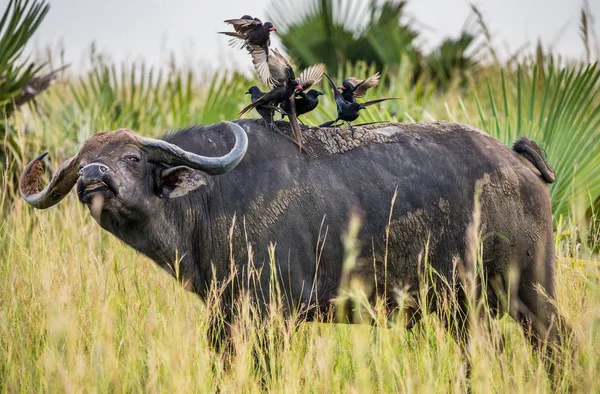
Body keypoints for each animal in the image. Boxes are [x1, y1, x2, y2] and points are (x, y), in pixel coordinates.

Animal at [19, 121, 568, 354]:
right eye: (84, 159)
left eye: (132, 158)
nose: (92, 177)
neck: (211, 201)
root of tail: (516, 161)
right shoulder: (225, 318)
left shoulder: (272, 316)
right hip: (461, 308)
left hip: (531, 293)